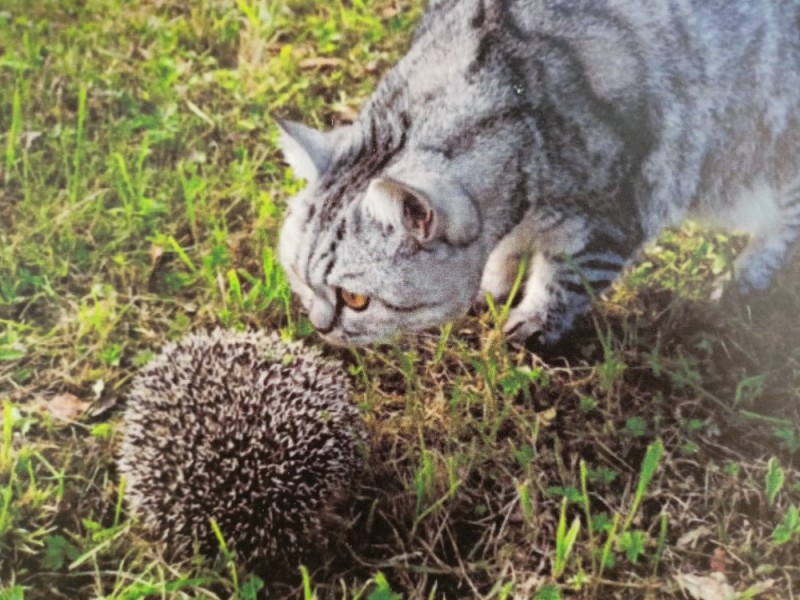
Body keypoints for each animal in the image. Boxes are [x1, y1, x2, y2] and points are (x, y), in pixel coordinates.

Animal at [276, 0, 800, 346]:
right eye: (299, 279)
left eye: (355, 299)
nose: (319, 326)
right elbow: (505, 253)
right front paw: (494, 286)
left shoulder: (611, 217)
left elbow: (564, 280)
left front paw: (533, 322)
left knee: (784, 227)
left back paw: (746, 277)